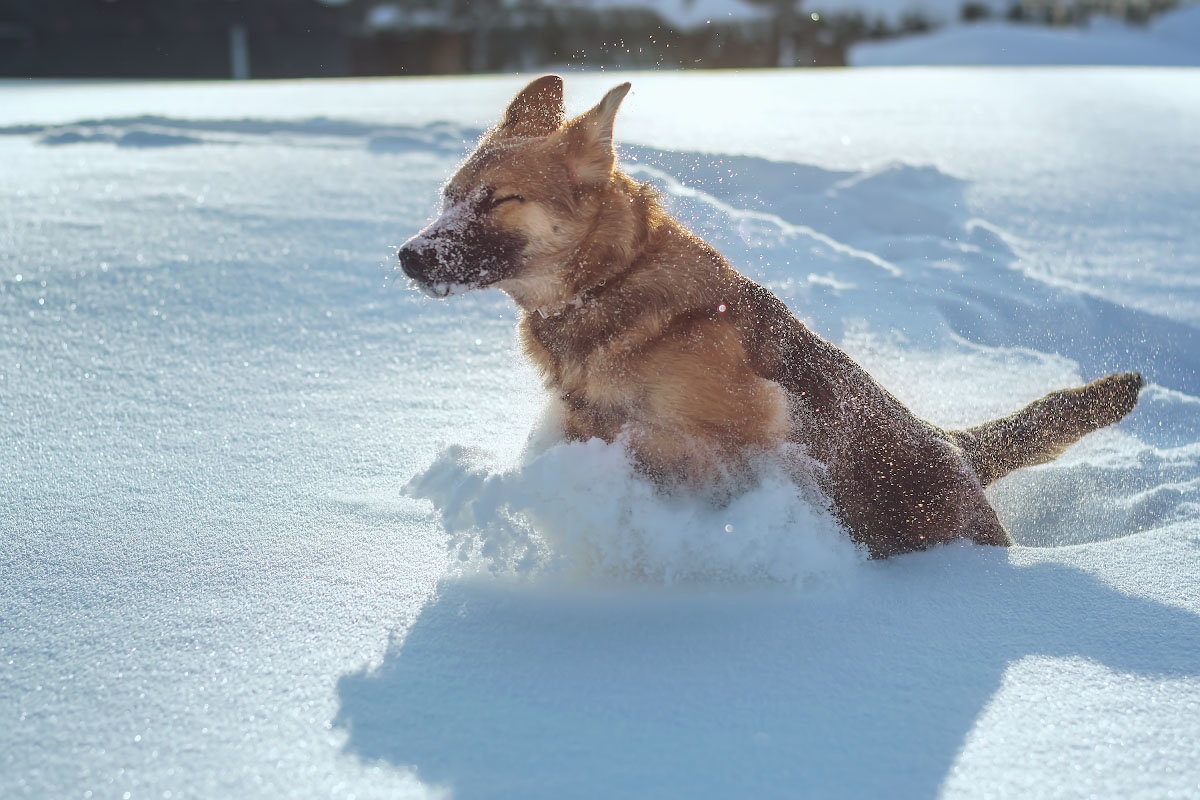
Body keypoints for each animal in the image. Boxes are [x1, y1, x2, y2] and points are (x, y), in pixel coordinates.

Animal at [396, 77, 1142, 561]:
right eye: (449, 197)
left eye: (497, 200)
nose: (407, 256)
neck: (612, 283)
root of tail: (951, 443)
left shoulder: (743, 433)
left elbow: (653, 444)